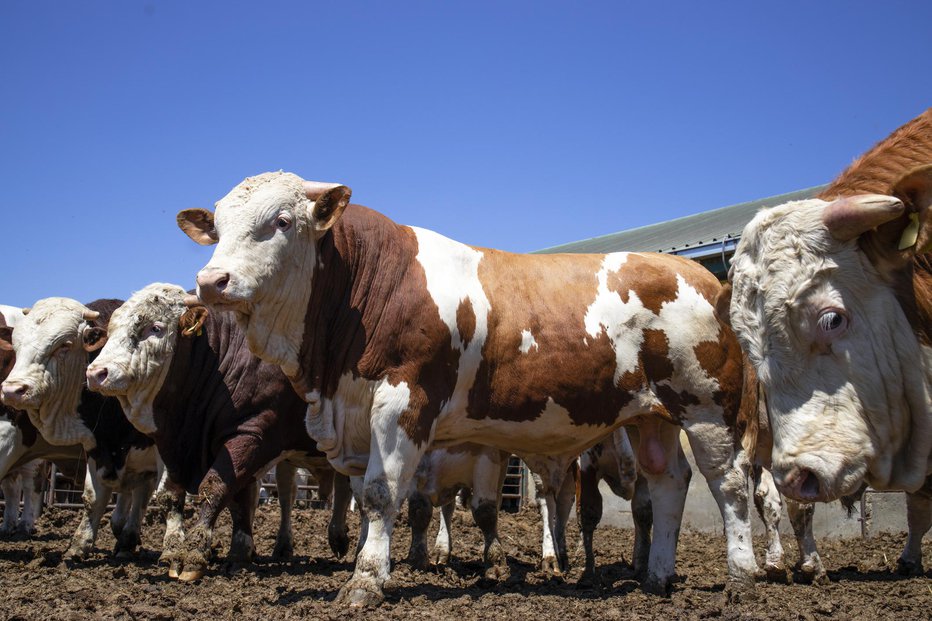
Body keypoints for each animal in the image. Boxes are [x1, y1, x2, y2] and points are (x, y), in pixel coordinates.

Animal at [83, 284, 352, 580]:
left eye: (155, 328)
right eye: (111, 329)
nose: (96, 373)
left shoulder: (251, 434)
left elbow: (214, 488)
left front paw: (194, 555)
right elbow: (228, 499)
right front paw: (237, 553)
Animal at [180, 172, 764, 604]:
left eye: (281, 221)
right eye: (220, 226)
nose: (211, 281)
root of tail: (699, 273)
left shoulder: (403, 400)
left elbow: (381, 493)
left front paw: (365, 582)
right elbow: (376, 500)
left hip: (709, 409)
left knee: (729, 485)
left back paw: (742, 576)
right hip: (653, 416)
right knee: (668, 482)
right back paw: (658, 576)